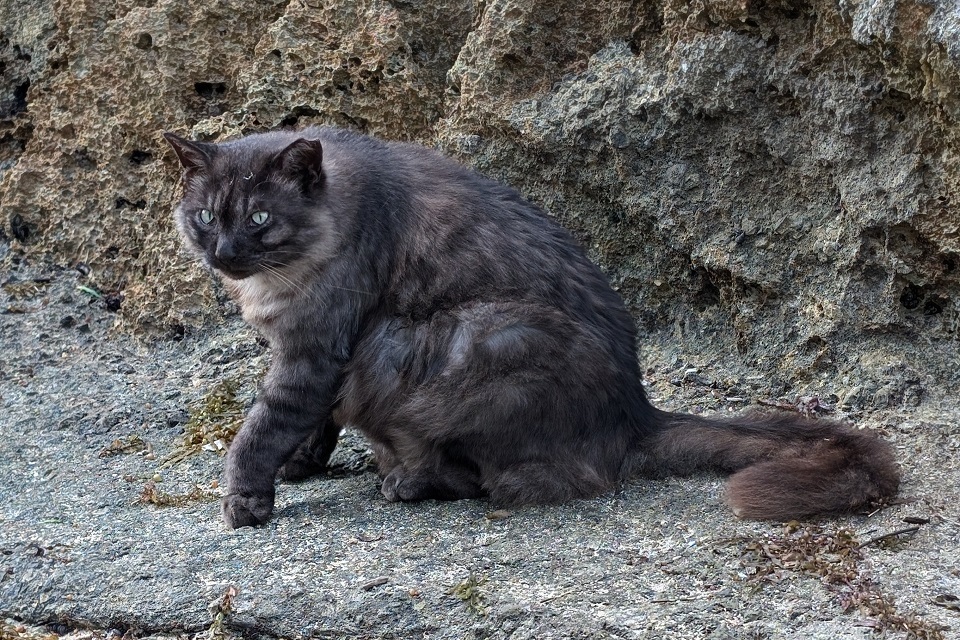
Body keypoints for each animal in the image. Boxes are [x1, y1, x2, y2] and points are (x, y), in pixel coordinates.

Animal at [163, 127, 900, 528]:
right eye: (205, 216)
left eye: (259, 219)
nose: (223, 251)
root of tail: (636, 413)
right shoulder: (315, 352)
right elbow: (310, 423)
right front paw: (300, 465)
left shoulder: (318, 349)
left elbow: (262, 426)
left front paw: (247, 496)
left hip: (461, 338)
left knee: (500, 479)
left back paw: (410, 482)